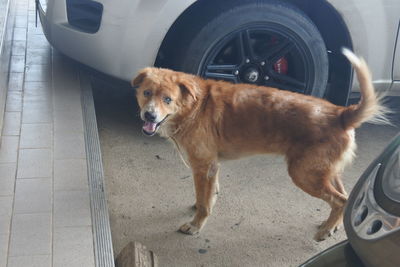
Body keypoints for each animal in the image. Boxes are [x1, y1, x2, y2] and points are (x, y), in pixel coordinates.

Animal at [134, 49, 388, 242]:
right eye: (146, 93)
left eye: (168, 100)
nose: (149, 116)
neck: (195, 105)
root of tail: (341, 114)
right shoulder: (212, 167)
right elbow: (206, 196)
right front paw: (200, 206)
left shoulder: (203, 167)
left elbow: (205, 202)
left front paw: (196, 225)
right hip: (323, 171)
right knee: (343, 196)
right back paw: (332, 225)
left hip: (304, 174)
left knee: (340, 200)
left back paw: (326, 229)